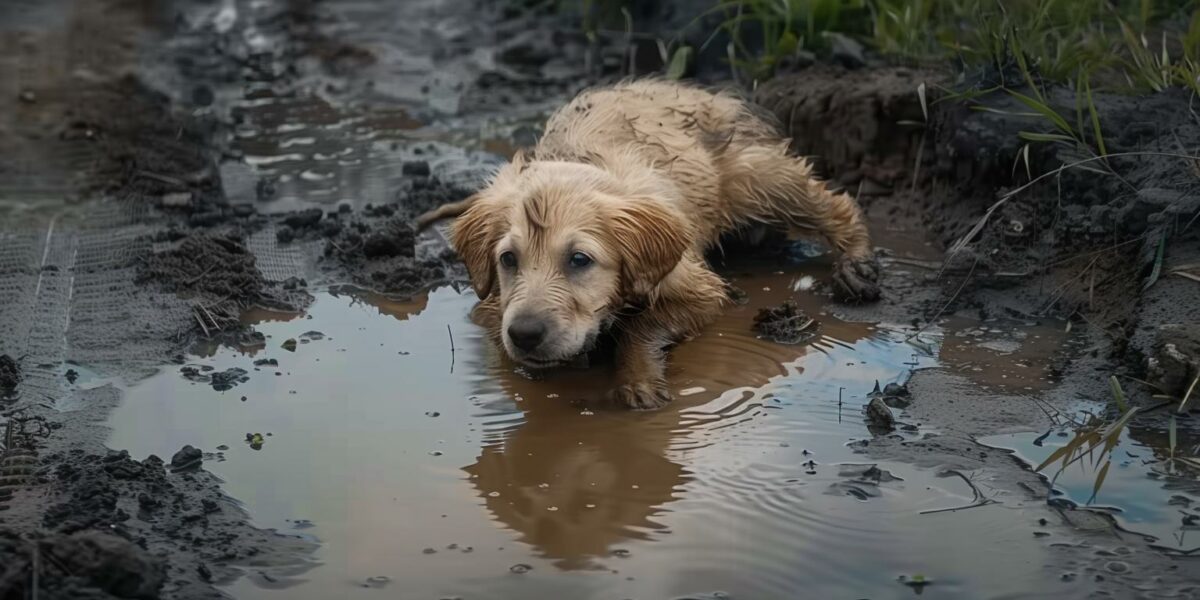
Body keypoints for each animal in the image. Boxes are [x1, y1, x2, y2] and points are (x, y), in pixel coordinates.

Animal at [417, 78, 878, 408]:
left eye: (579, 259)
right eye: (508, 259)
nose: (526, 334)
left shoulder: (697, 289)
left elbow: (643, 325)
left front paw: (637, 378)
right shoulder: (492, 305)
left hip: (755, 176)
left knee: (834, 203)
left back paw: (854, 262)